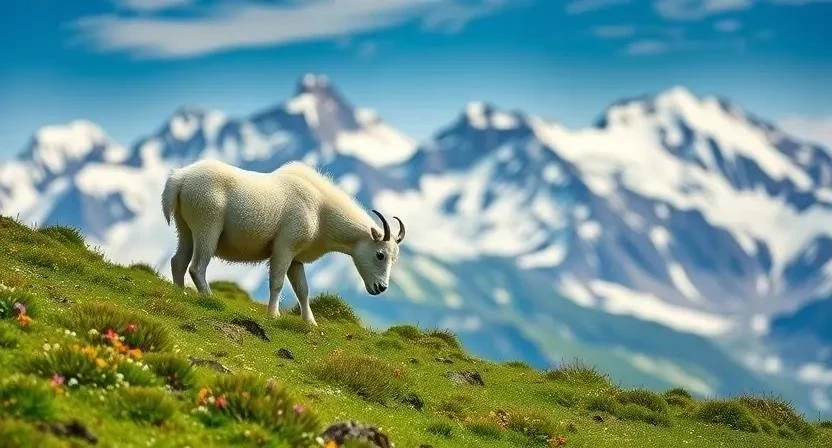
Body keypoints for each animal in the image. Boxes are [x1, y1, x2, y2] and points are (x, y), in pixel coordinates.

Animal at [161, 159, 405, 325]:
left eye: (395, 258)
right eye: (380, 254)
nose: (381, 288)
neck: (320, 210)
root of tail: (180, 178)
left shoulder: (296, 259)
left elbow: (303, 290)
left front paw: (311, 323)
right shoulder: (284, 248)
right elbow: (277, 282)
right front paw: (273, 315)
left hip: (185, 229)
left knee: (178, 261)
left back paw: (179, 293)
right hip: (207, 227)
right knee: (197, 267)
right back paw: (210, 299)